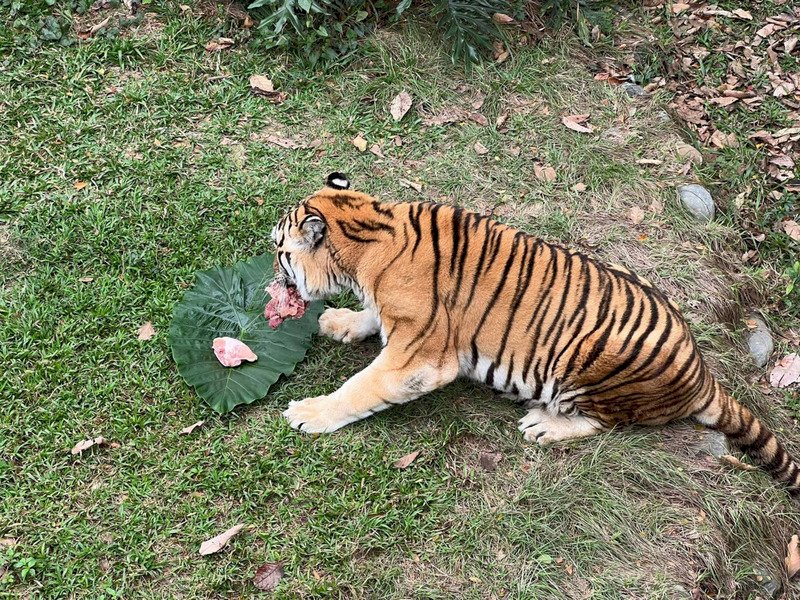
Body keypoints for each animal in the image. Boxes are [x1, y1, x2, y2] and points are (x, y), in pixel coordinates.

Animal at [272, 172, 800, 496]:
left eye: (279, 251)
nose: (271, 281)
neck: (370, 234)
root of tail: (701, 370)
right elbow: (369, 317)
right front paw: (338, 321)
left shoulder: (418, 360)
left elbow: (360, 388)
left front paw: (308, 414)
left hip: (590, 369)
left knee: (605, 424)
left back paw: (544, 424)